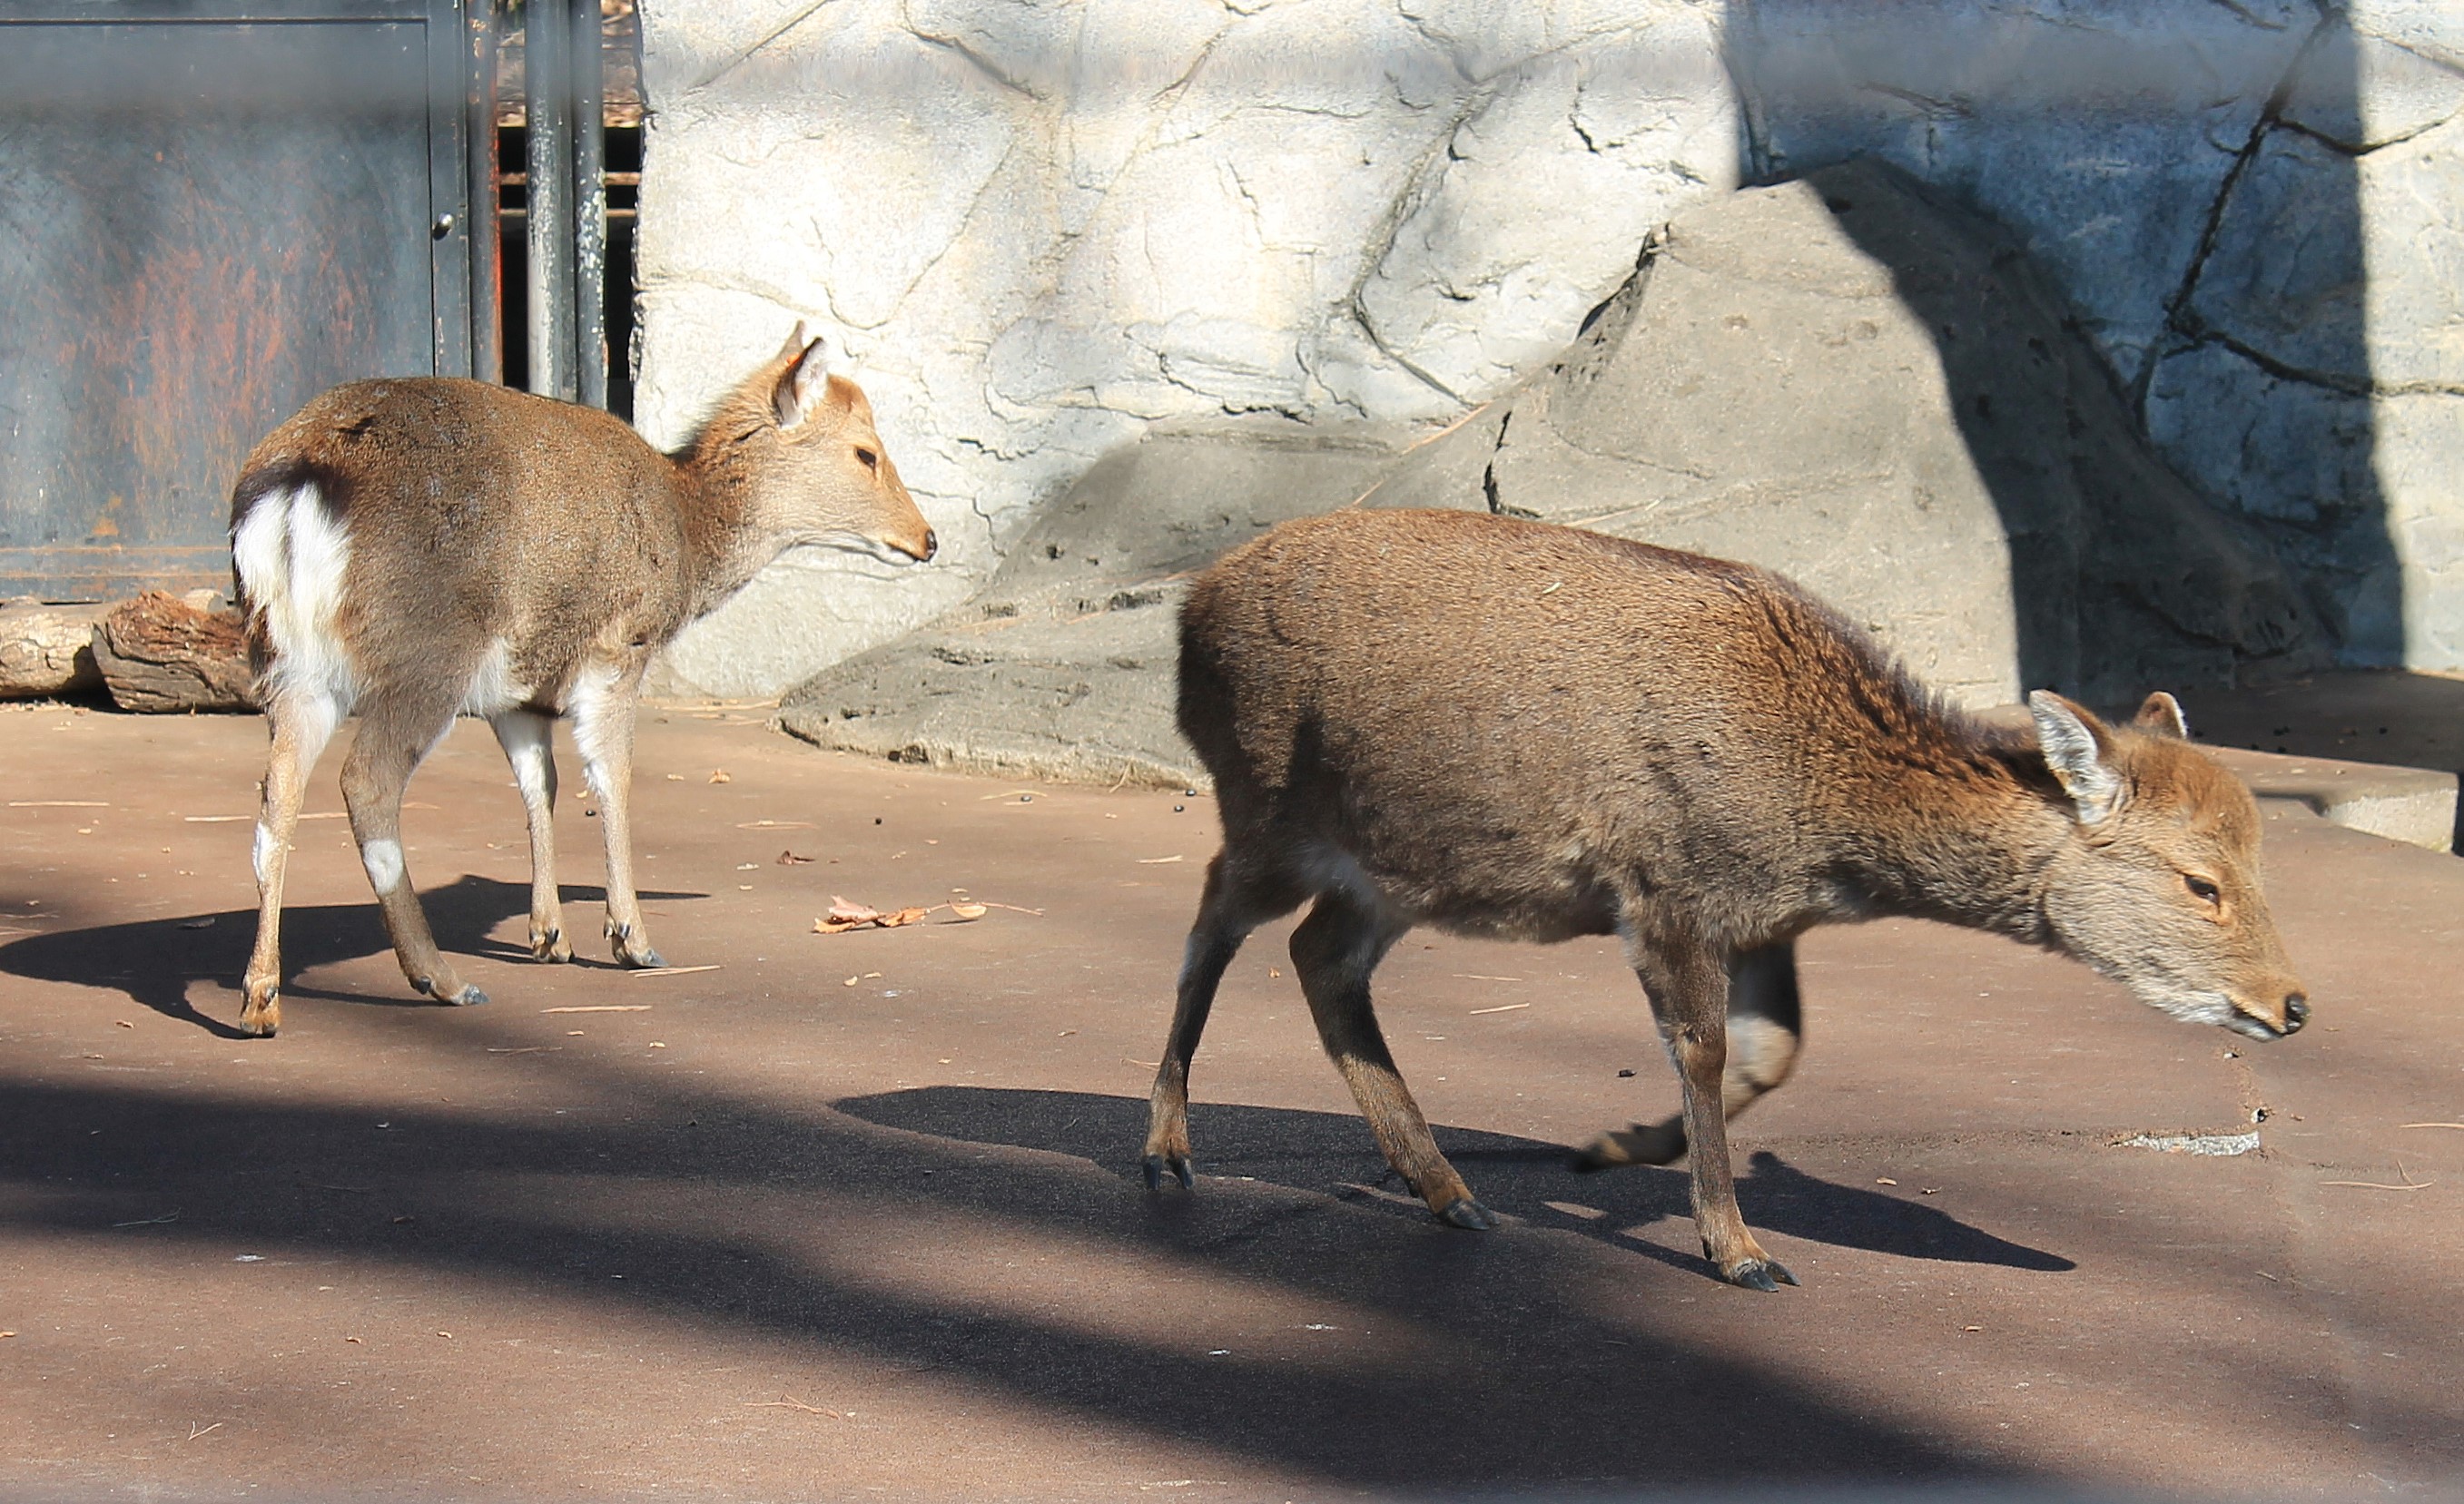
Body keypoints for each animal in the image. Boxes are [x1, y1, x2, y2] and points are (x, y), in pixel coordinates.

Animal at [228, 328, 936, 1036]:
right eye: (866, 452)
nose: (927, 538)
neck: (686, 532)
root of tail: (297, 484)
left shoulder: (520, 687)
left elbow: (539, 783)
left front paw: (549, 937)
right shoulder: (618, 648)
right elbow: (612, 777)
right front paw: (631, 939)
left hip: (287, 665)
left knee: (275, 797)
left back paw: (261, 996)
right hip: (426, 657)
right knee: (366, 781)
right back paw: (442, 979)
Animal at [1143, 507, 2308, 1290]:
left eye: (2258, 857)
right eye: (2199, 880)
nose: (2289, 1004)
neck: (1819, 819)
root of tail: (1190, 610)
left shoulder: (1761, 919)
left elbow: (1773, 1050)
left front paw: (1609, 1146)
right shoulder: (1665, 888)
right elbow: (1701, 1049)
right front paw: (1739, 1249)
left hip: (1392, 868)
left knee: (1319, 959)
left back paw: (1450, 1192)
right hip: (1267, 806)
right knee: (1209, 922)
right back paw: (1166, 1151)